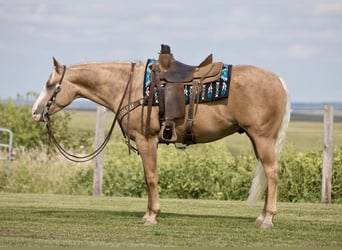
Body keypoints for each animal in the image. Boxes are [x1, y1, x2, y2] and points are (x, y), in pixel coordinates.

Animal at [32, 56, 290, 229]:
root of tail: (278, 81)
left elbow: (151, 177)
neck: (131, 87)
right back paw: (262, 215)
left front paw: (151, 215)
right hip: (258, 140)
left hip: (263, 138)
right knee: (268, 173)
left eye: (50, 85)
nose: (35, 112)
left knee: (272, 172)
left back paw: (268, 218)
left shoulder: (146, 140)